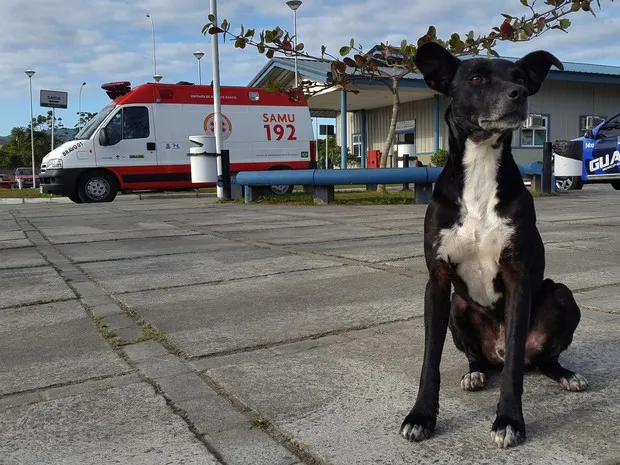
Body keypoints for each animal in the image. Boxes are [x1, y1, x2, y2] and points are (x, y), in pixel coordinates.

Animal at [400, 41, 588, 448]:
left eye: (520, 78)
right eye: (476, 78)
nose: (518, 94)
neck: (482, 167)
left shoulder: (518, 279)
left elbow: (515, 366)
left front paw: (509, 421)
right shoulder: (437, 282)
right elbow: (429, 359)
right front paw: (421, 417)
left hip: (561, 295)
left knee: (536, 359)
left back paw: (565, 374)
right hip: (457, 306)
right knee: (479, 358)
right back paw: (475, 372)